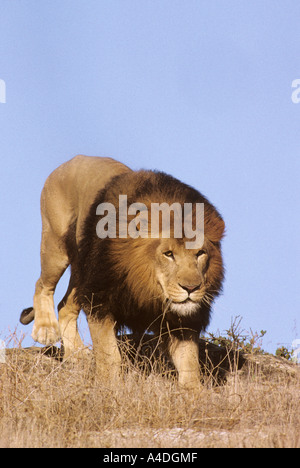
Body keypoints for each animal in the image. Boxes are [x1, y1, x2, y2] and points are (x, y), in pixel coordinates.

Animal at [19, 155, 224, 390]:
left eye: (200, 253)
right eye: (168, 254)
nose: (191, 288)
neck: (145, 285)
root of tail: (73, 159)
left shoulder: (182, 322)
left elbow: (189, 364)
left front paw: (194, 392)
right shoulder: (99, 299)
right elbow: (109, 355)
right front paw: (109, 387)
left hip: (82, 269)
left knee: (65, 306)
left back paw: (77, 355)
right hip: (56, 244)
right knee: (42, 285)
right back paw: (45, 330)